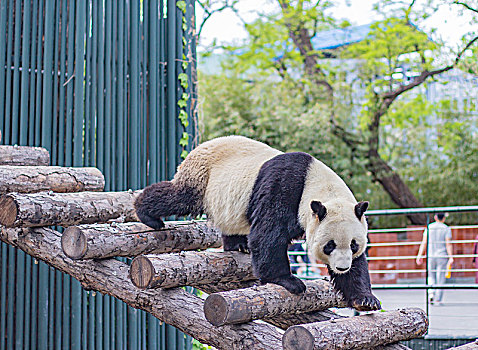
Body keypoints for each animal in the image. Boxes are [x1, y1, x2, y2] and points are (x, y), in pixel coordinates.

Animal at [134, 135, 380, 310]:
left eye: (353, 245)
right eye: (329, 245)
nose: (341, 267)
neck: (318, 185)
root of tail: (200, 146)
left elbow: (359, 265)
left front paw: (365, 300)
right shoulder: (284, 188)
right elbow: (267, 234)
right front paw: (288, 281)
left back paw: (237, 245)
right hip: (201, 175)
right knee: (180, 196)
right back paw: (147, 214)